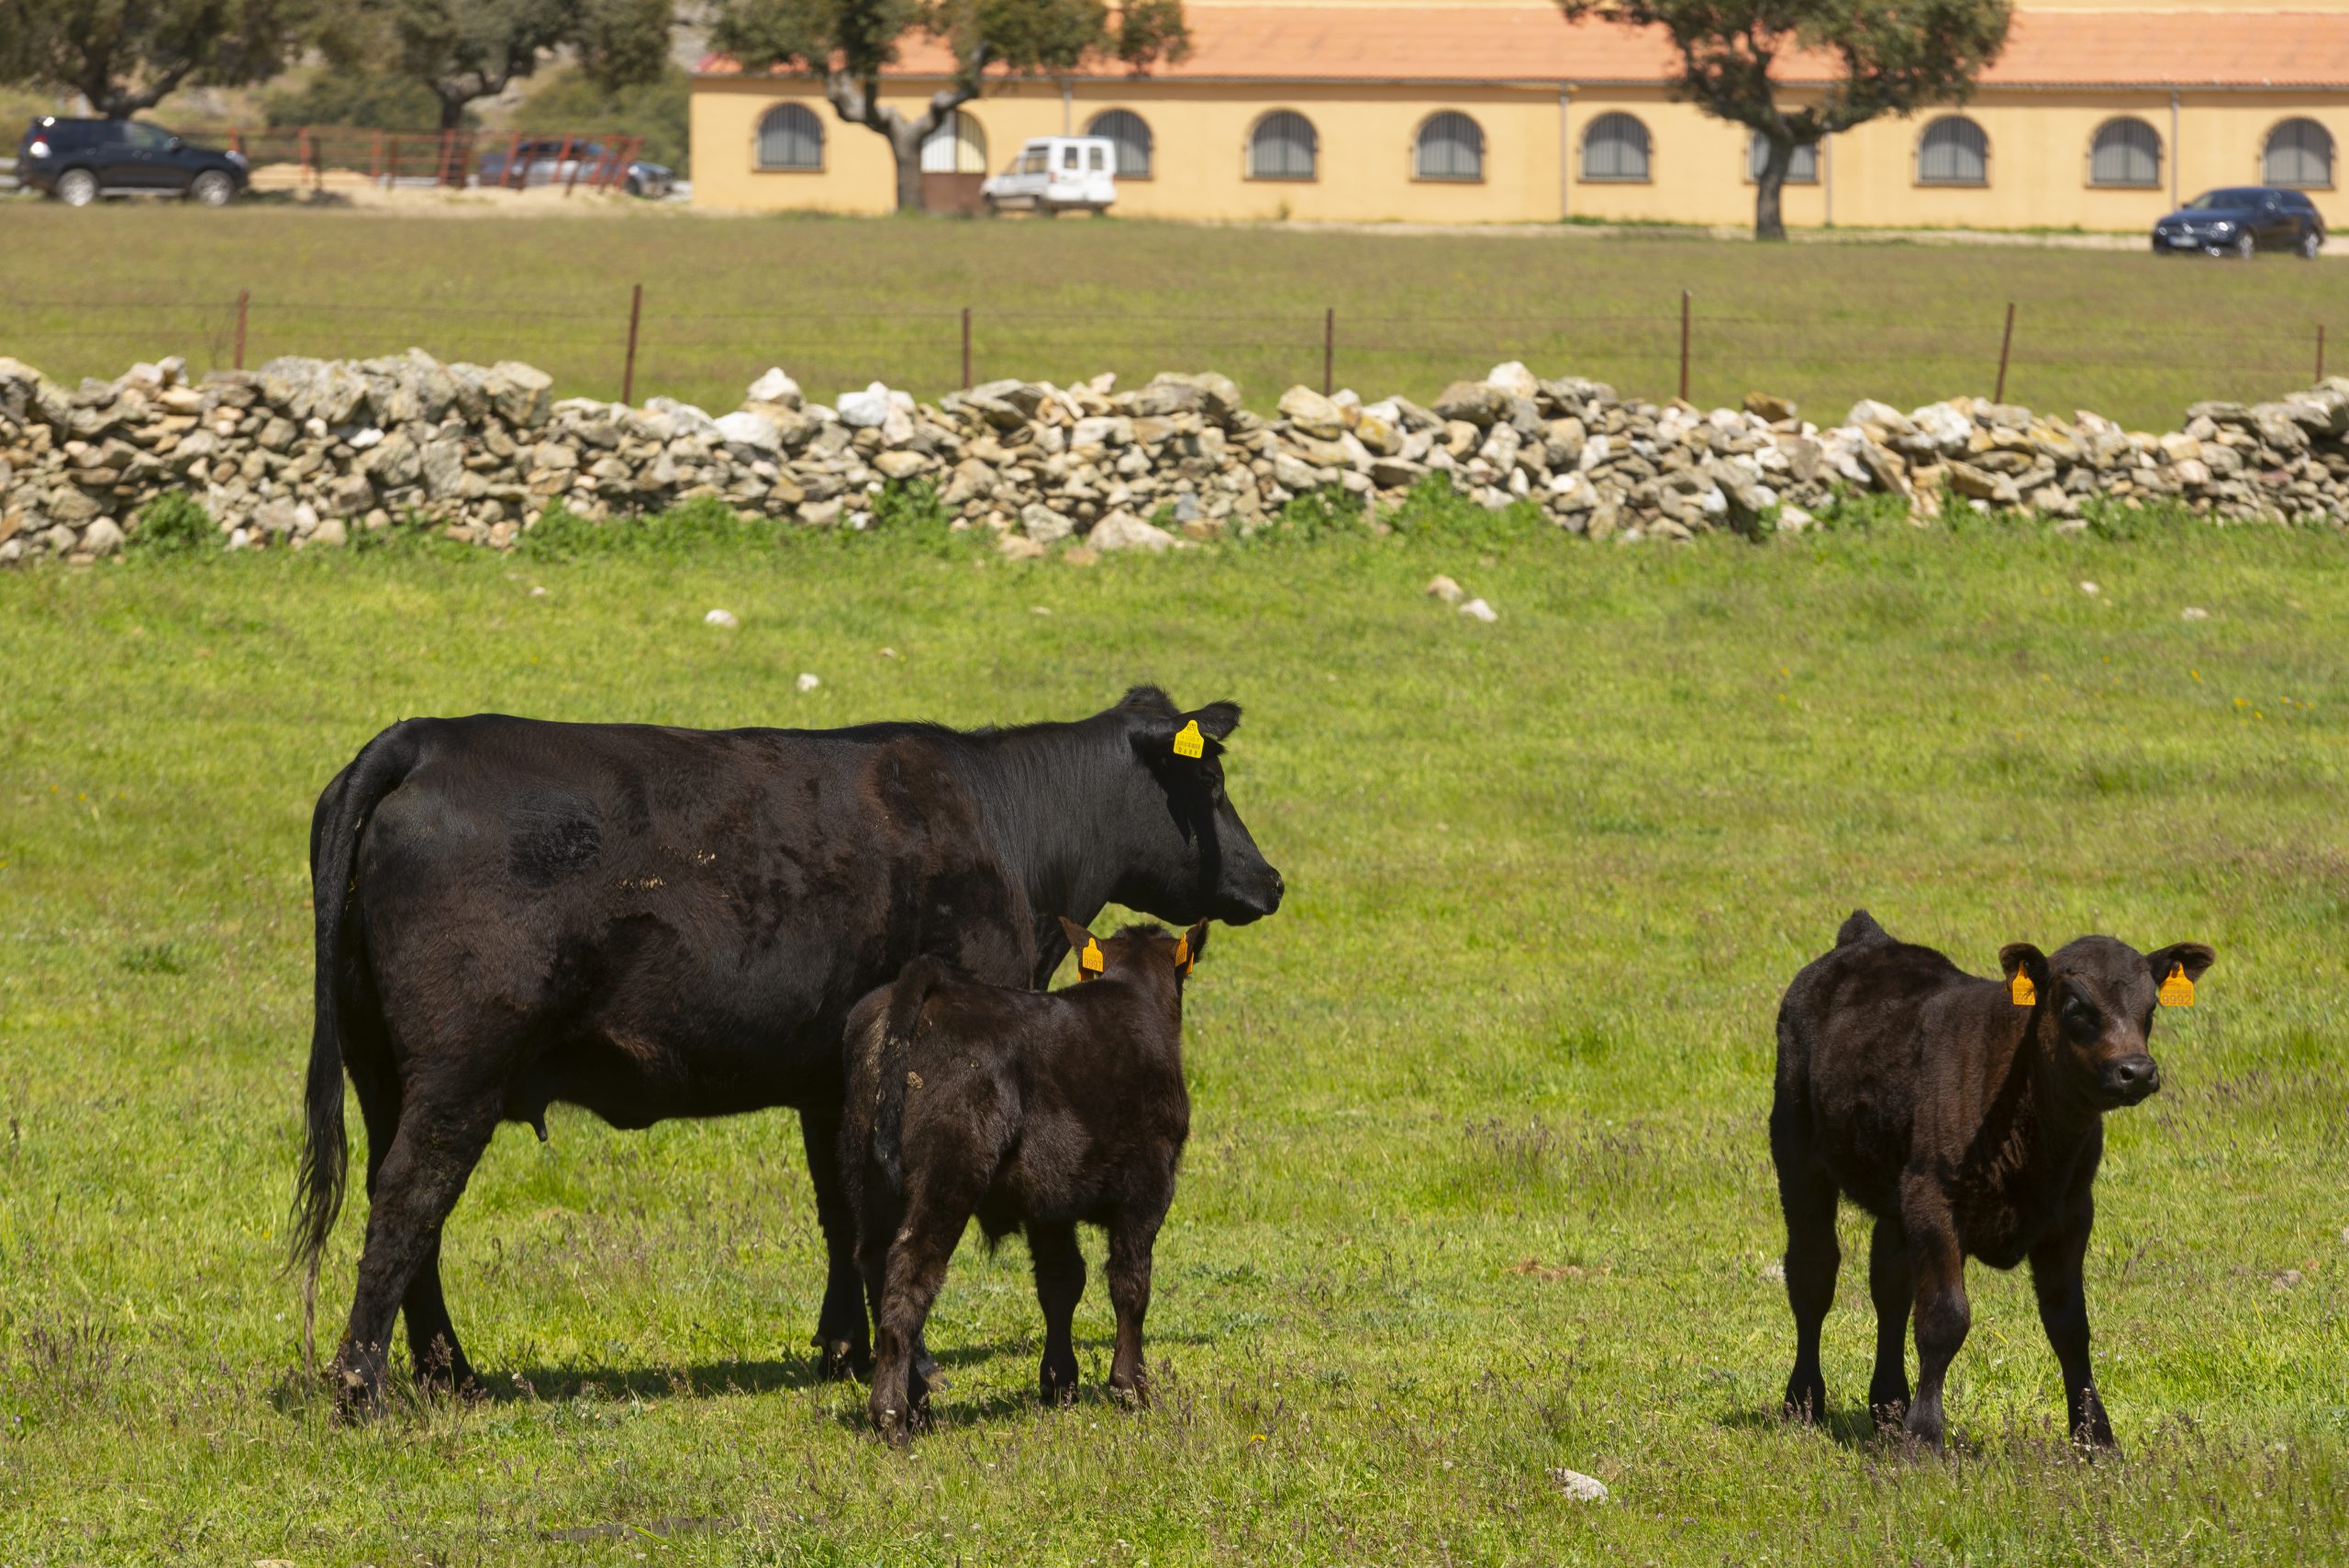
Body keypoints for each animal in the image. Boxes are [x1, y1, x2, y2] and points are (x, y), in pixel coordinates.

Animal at [845, 919, 1211, 1445]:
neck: (1132, 992)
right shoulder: (1147, 1188)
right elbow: (1130, 1284)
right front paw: (1131, 1388)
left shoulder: (1049, 1202)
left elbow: (1062, 1282)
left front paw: (1059, 1383)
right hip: (947, 1176)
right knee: (909, 1273)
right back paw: (892, 1416)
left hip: (868, 1177)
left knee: (874, 1265)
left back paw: (918, 1407)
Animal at [1766, 910, 2208, 1455]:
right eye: (2076, 1007)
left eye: (2150, 1007)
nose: (2137, 1071)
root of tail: (1866, 938)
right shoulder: (1934, 1201)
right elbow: (1944, 1319)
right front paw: (1924, 1439)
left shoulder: (2071, 1212)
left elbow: (2070, 1325)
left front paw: (2096, 1440)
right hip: (1796, 1149)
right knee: (1813, 1273)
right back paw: (1803, 1403)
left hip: (1896, 1185)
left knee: (1889, 1286)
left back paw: (1888, 1408)